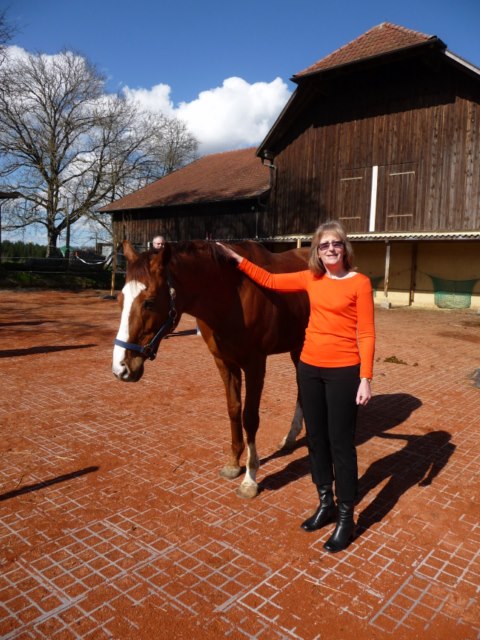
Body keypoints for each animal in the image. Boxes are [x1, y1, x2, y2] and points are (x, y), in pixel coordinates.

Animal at [112, 240, 310, 498]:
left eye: (149, 302)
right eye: (120, 300)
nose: (121, 368)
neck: (231, 295)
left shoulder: (255, 364)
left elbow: (250, 417)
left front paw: (250, 478)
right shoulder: (224, 362)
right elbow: (233, 409)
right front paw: (234, 463)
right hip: (299, 347)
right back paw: (290, 437)